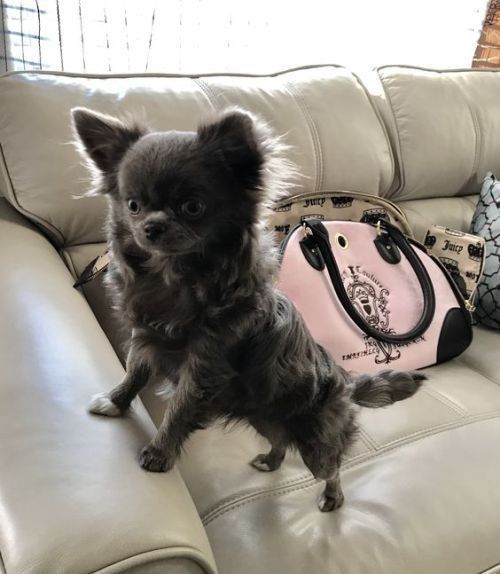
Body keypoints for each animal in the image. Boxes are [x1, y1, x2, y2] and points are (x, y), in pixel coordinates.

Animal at [73, 108, 426, 512]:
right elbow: (134, 373)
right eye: (133, 205)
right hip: (263, 416)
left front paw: (159, 453)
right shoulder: (145, 337)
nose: (152, 226)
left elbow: (179, 409)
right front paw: (115, 402)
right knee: (280, 440)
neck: (175, 275)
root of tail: (345, 382)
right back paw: (270, 461)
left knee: (331, 466)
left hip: (315, 441)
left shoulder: (204, 366)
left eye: (192, 207)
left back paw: (332, 497)